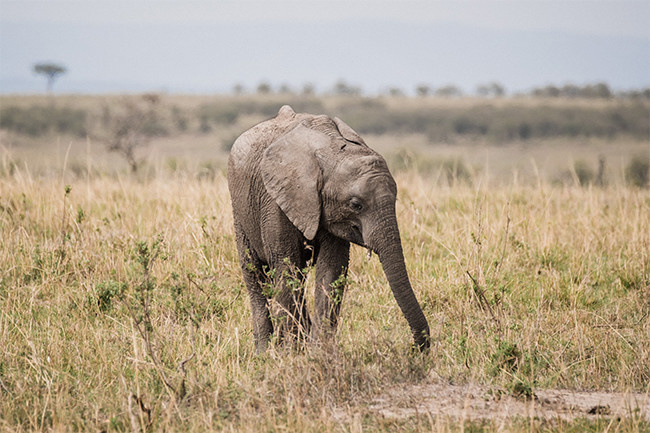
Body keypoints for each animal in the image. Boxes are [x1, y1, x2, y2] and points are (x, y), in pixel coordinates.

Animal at [228, 104, 430, 352]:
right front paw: (293, 353)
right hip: (241, 212)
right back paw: (264, 352)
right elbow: (285, 266)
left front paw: (317, 352)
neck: (332, 151)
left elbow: (331, 270)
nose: (415, 349)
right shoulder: (274, 201)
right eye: (356, 204)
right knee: (255, 273)